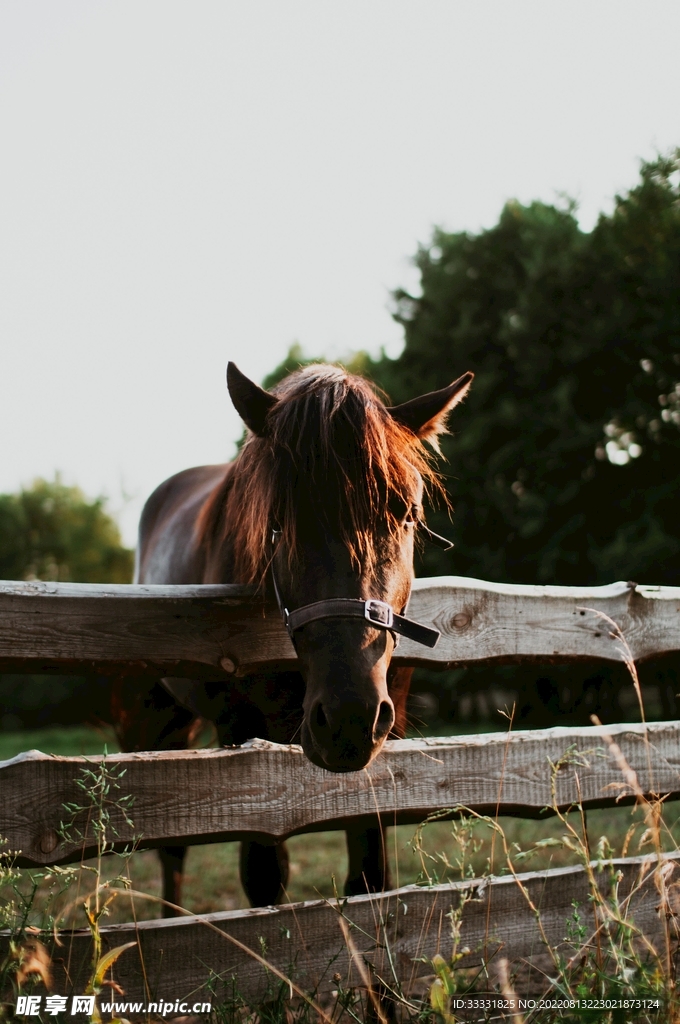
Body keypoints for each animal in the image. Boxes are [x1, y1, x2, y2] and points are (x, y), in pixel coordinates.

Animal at [110, 361, 472, 913]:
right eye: (279, 520)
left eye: (406, 513)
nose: (348, 715)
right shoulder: (241, 737)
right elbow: (264, 881)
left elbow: (369, 876)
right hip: (161, 718)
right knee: (171, 850)